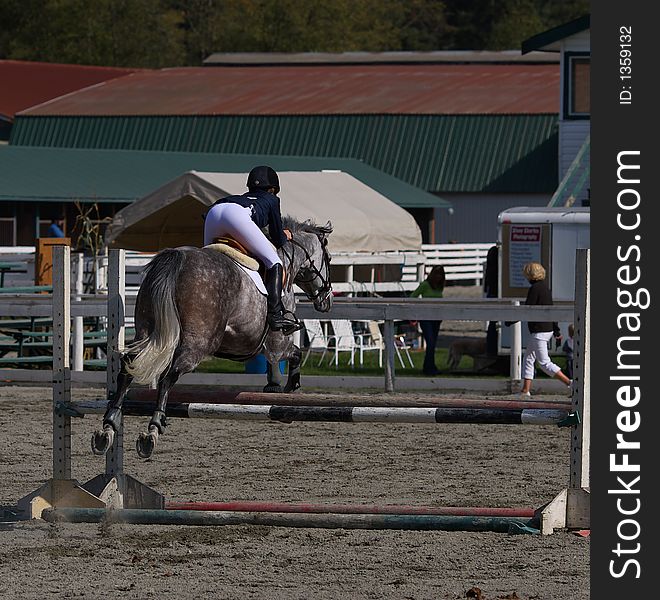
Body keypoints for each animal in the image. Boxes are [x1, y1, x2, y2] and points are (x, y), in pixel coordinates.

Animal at [93, 220, 332, 460]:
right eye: (329, 259)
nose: (326, 300)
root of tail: (177, 258)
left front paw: (274, 387)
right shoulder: (276, 345)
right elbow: (296, 354)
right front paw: (290, 390)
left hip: (146, 330)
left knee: (129, 365)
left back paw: (109, 426)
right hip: (197, 344)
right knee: (168, 376)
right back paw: (153, 429)